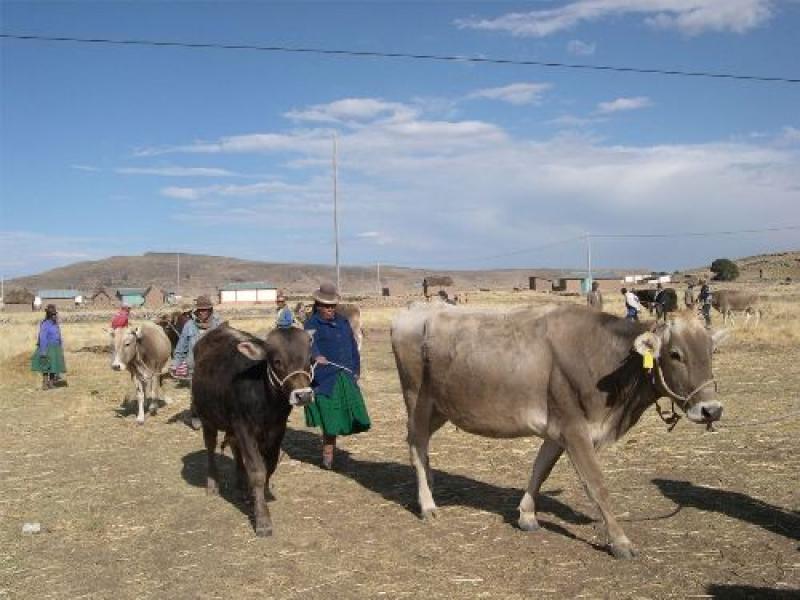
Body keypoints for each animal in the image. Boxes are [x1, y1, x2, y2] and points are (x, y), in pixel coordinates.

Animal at [390, 302, 728, 560]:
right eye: (675, 354)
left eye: (712, 351)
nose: (711, 410)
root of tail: (414, 309)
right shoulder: (574, 428)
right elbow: (597, 485)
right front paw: (620, 541)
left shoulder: (557, 430)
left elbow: (540, 470)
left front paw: (526, 515)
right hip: (417, 399)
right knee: (416, 445)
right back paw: (428, 504)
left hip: (441, 407)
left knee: (422, 445)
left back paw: (431, 484)